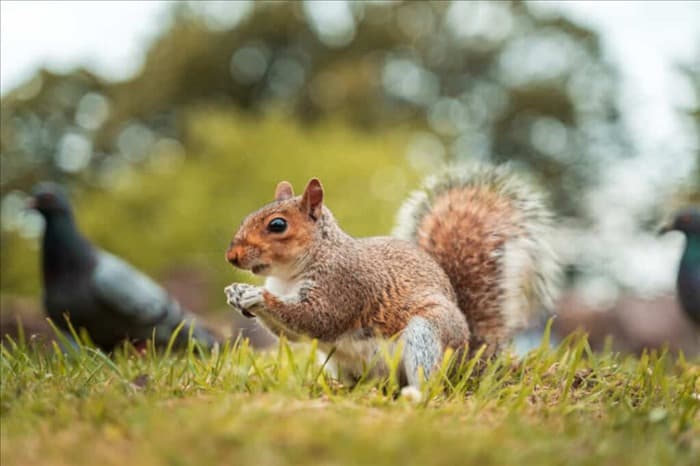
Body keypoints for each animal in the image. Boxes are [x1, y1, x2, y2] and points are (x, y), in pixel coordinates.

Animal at [227, 164, 560, 390]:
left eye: (278, 225)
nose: (232, 256)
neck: (289, 275)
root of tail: (466, 360)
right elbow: (295, 334)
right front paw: (236, 293)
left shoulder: (345, 285)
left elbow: (317, 319)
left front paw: (258, 296)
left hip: (428, 333)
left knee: (429, 382)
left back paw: (415, 395)